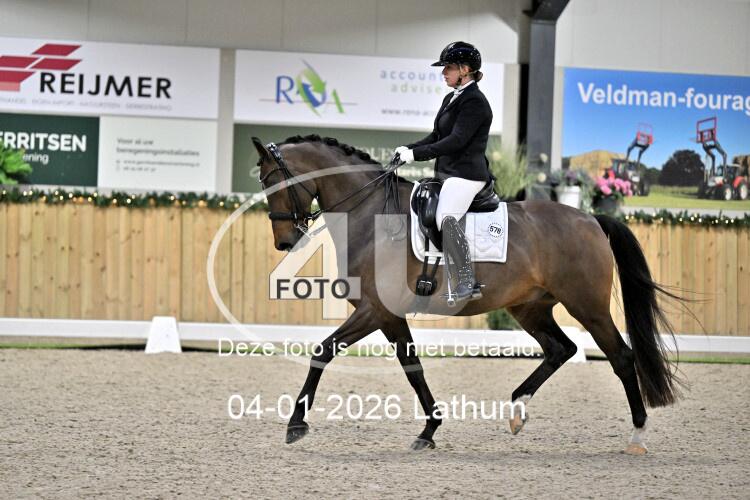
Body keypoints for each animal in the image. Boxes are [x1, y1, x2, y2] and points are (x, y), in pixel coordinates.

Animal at [252, 134, 683, 455]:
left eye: (273, 182)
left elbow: (323, 351)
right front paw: (429, 431)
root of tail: (590, 219)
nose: (284, 241)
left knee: (621, 357)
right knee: (561, 349)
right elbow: (413, 368)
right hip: (530, 307)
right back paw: (517, 410)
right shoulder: (388, 316)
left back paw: (637, 435)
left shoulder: (375, 310)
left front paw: (295, 425)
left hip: (587, 306)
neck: (371, 213)